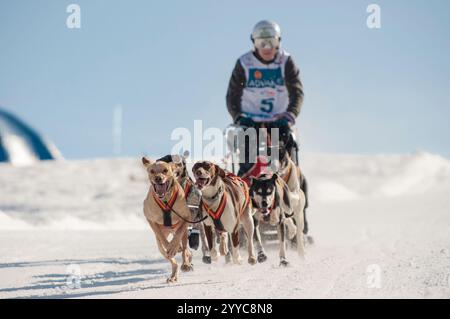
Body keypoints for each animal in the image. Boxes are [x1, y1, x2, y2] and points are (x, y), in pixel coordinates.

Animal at [142, 156, 193, 284]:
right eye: (152, 171)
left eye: (165, 170)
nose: (158, 178)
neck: (165, 200)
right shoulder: (150, 219)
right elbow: (161, 236)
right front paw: (171, 247)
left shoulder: (186, 217)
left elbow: (178, 235)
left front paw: (174, 246)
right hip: (160, 246)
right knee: (172, 260)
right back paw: (173, 275)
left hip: (185, 233)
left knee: (185, 249)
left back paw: (185, 263)